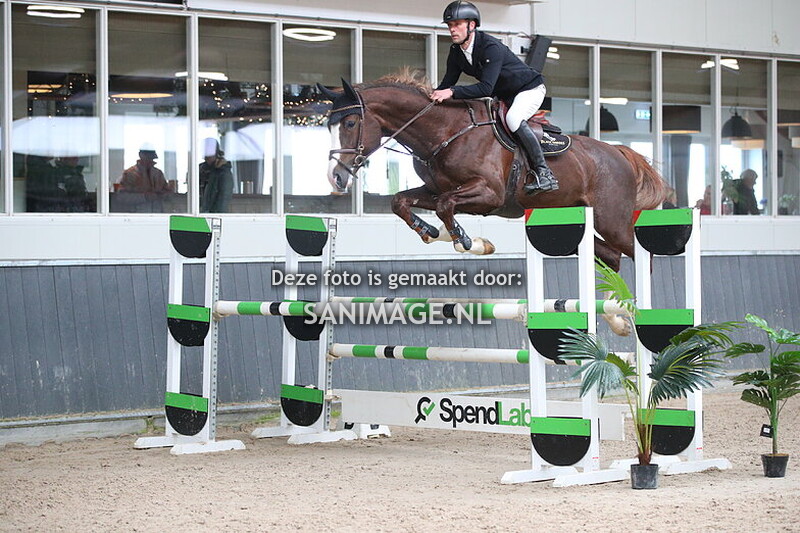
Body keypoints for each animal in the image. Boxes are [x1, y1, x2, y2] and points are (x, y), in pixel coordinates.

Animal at [318, 74, 667, 335]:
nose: (335, 177)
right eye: (328, 126)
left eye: (350, 123)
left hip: (612, 219)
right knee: (611, 257)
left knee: (640, 254)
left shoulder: (489, 195)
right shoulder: (434, 189)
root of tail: (618, 152)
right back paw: (616, 319)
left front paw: (467, 241)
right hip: (575, 223)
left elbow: (445, 207)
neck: (444, 130)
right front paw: (430, 231)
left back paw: (645, 311)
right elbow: (402, 202)